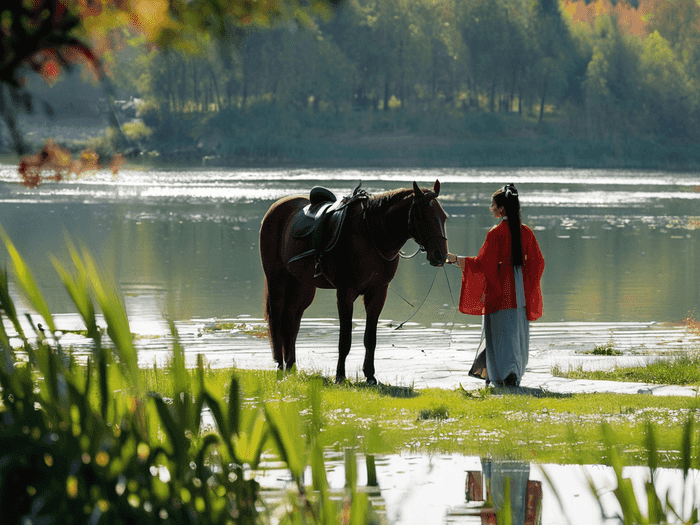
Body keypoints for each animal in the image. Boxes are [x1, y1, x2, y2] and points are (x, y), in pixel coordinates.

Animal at [258, 179, 448, 380]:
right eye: (422, 215)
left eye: (443, 216)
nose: (440, 255)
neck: (371, 234)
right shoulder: (345, 293)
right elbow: (345, 339)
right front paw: (340, 375)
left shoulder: (378, 292)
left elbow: (370, 338)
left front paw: (370, 375)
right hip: (277, 280)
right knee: (277, 319)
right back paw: (280, 365)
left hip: (302, 285)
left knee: (291, 320)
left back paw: (290, 365)